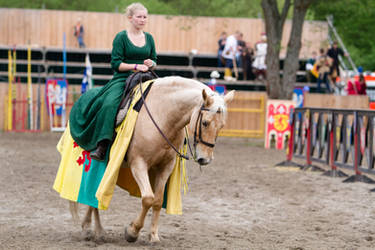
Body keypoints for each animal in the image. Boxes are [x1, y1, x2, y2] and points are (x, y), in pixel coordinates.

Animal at [70, 75, 234, 242]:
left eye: (222, 126)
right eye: (205, 123)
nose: (205, 159)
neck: (162, 115)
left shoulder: (165, 167)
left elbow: (157, 200)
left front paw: (153, 235)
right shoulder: (138, 164)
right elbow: (148, 198)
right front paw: (132, 232)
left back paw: (93, 229)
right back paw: (92, 229)